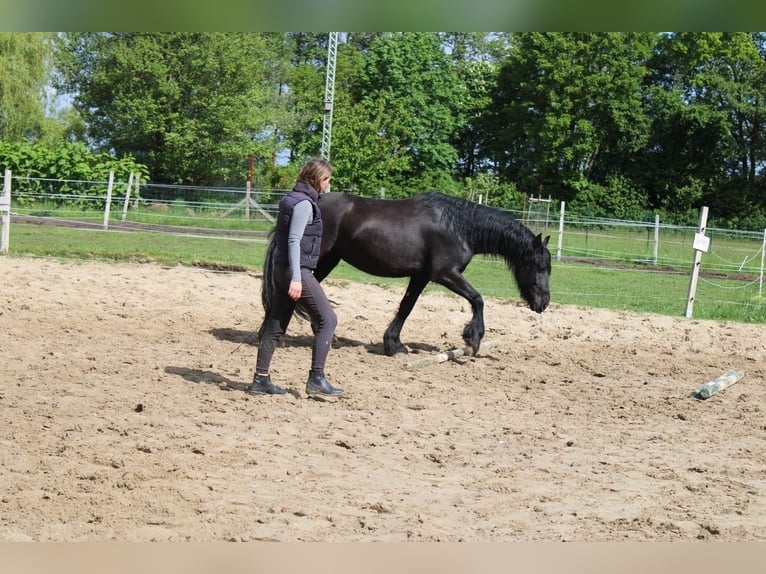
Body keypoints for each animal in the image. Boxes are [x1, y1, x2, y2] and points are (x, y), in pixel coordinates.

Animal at [260, 191, 551, 357]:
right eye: (540, 266)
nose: (543, 303)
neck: (458, 226)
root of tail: (308, 202)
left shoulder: (421, 276)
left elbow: (406, 307)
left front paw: (394, 345)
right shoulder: (444, 273)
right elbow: (478, 299)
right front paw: (474, 337)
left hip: (329, 260)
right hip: (316, 258)